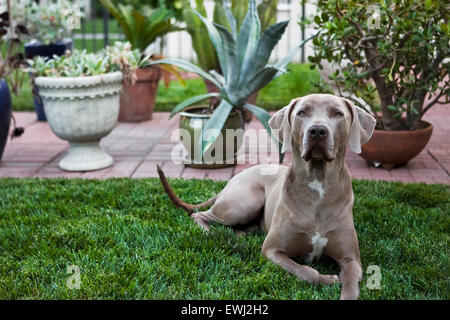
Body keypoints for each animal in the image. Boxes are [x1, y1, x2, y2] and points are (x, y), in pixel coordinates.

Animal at [158, 93, 376, 300]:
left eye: (338, 114)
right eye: (302, 112)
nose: (317, 131)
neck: (318, 183)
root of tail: (233, 179)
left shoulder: (351, 259)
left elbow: (350, 282)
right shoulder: (272, 250)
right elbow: (305, 271)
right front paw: (327, 279)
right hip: (245, 202)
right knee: (200, 215)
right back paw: (213, 232)